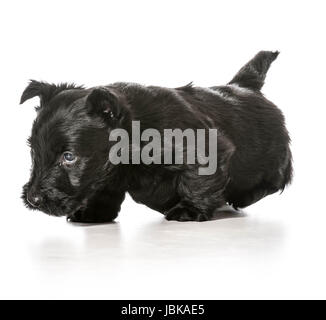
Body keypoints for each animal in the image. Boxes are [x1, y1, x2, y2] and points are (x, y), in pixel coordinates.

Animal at [22, 52, 292, 222]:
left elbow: (198, 181)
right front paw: (93, 213)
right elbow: (102, 189)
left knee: (276, 179)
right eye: (33, 152)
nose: (33, 199)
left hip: (272, 159)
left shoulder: (206, 148)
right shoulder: (106, 175)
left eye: (69, 157)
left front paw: (189, 210)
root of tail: (244, 86)